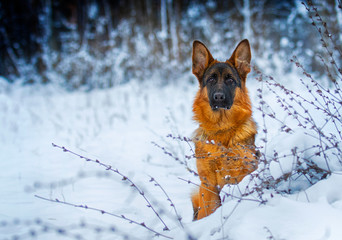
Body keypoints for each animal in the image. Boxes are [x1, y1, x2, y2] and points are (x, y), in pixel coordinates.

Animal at [191, 39, 258, 219]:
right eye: (211, 80)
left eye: (230, 80)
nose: (219, 97)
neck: (222, 129)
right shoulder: (208, 184)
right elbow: (208, 211)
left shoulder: (242, 173)